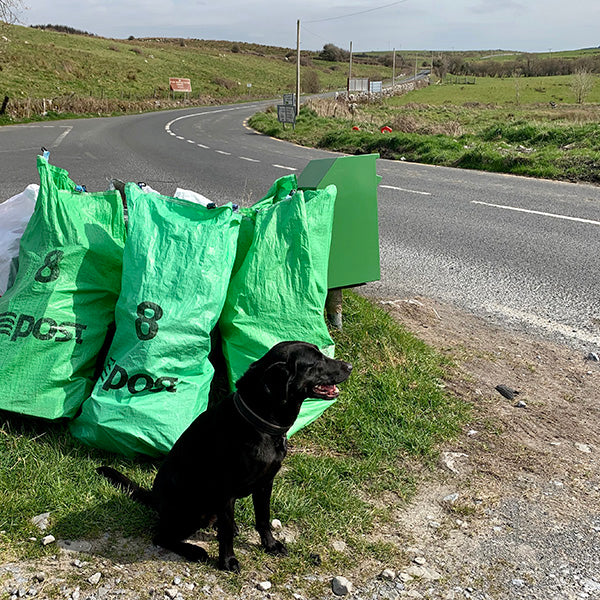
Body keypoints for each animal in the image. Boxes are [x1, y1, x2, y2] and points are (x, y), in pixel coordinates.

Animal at [98, 342, 352, 572]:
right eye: (315, 362)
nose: (349, 366)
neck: (258, 421)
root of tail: (154, 497)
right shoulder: (225, 491)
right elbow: (227, 533)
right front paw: (228, 561)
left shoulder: (265, 484)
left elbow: (263, 519)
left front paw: (270, 545)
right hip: (190, 508)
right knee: (162, 537)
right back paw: (195, 550)